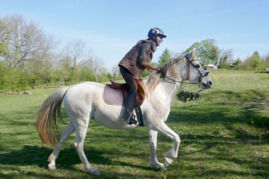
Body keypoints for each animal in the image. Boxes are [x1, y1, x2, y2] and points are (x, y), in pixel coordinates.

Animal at [35, 49, 211, 176]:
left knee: (62, 138)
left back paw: (52, 163)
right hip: (82, 121)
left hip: (74, 121)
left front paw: (156, 164)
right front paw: (168, 159)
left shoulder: (153, 126)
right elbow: (177, 138)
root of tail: (69, 88)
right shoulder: (158, 123)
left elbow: (153, 144)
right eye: (197, 65)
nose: (209, 82)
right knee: (78, 144)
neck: (159, 91)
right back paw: (91, 169)